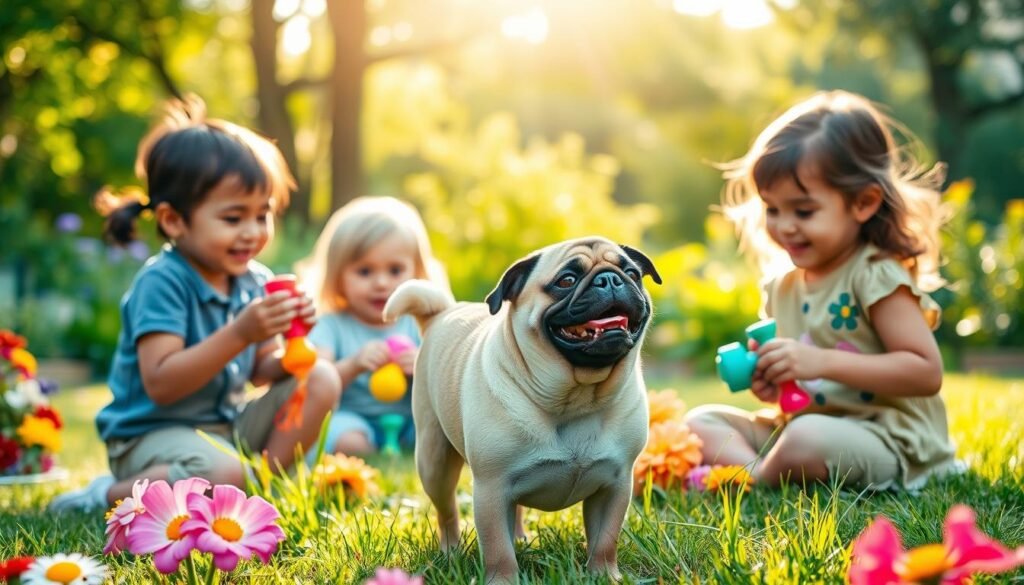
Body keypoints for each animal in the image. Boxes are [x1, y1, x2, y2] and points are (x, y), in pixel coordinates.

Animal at [385, 235, 663, 581]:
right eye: (566, 281)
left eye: (633, 274)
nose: (610, 279)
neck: (575, 397)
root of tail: (442, 313)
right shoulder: (491, 488)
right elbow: (498, 550)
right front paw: (503, 581)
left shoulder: (615, 484)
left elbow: (604, 540)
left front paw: (604, 576)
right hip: (434, 460)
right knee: (446, 510)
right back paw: (450, 552)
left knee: (515, 509)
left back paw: (518, 538)